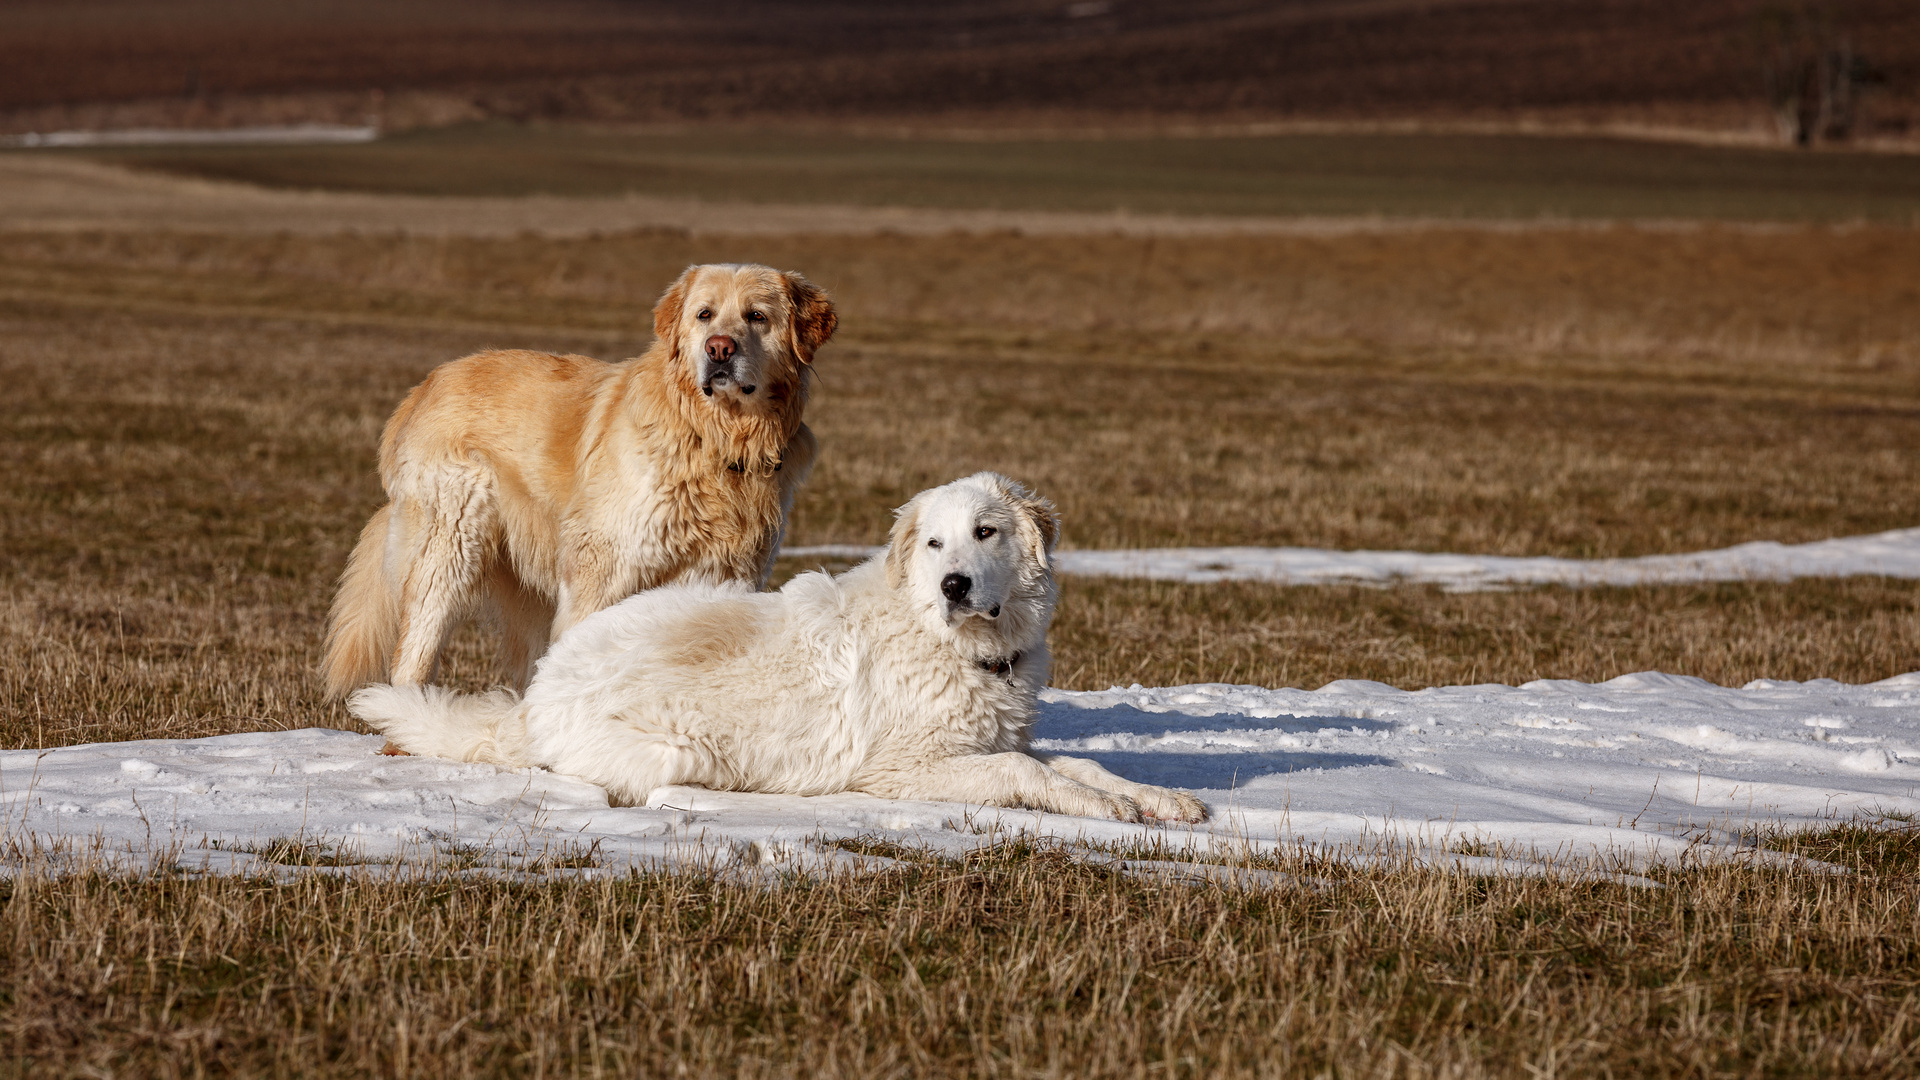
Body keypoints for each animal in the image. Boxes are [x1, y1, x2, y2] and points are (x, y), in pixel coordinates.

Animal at [353, 468, 1205, 814]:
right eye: (934, 544)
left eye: (985, 533)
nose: (955, 586)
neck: (957, 646)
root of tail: (535, 695)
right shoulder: (905, 770)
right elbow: (1029, 777)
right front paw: (1104, 809)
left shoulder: (1003, 737)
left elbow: (1082, 765)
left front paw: (1157, 800)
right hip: (681, 747)